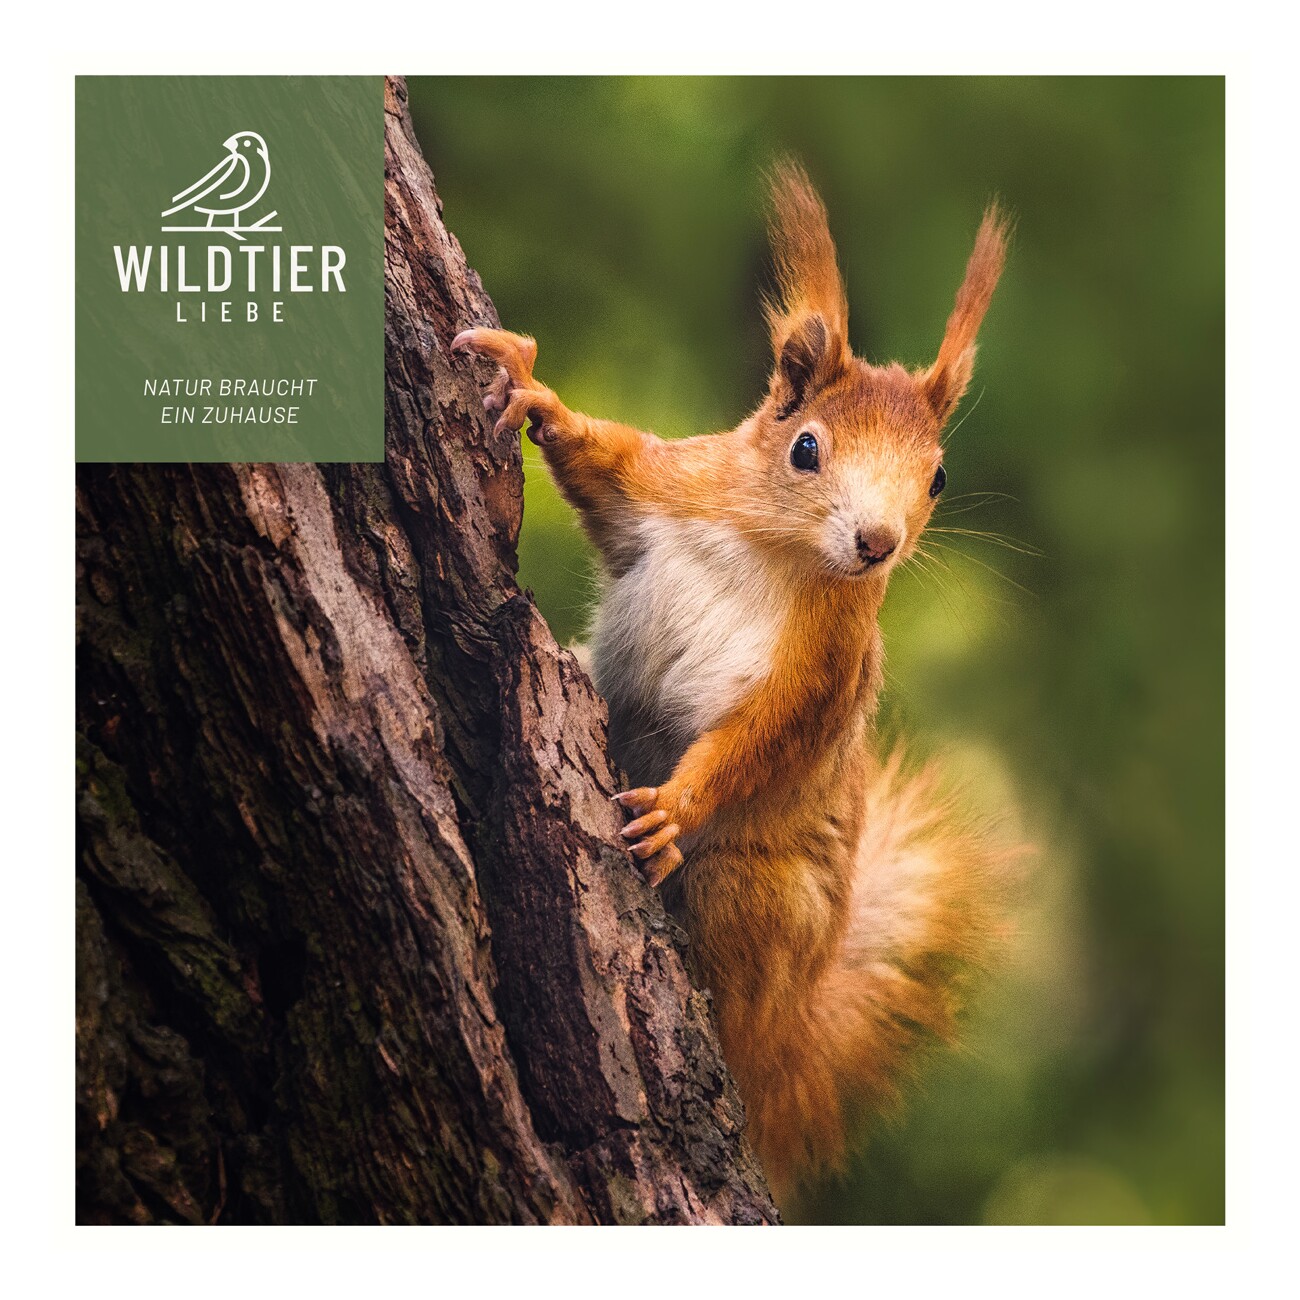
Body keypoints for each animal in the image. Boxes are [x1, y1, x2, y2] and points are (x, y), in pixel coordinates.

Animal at [453, 161, 1013, 1202]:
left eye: (939, 478)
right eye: (806, 447)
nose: (878, 544)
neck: (777, 551)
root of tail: (788, 1036)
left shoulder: (822, 674)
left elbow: (759, 741)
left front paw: (675, 807)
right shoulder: (668, 487)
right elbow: (604, 463)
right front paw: (534, 390)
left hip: (757, 898)